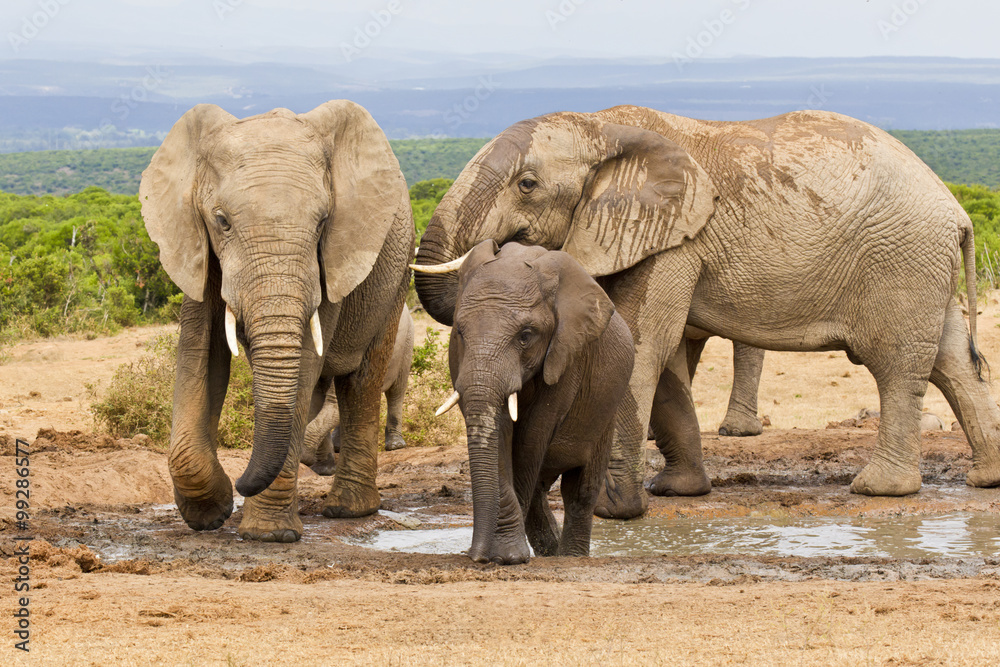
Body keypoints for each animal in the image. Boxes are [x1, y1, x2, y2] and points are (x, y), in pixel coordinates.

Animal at [301, 304, 414, 476]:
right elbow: (316, 402)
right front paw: (323, 470)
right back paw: (338, 447)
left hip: (407, 344)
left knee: (396, 391)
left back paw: (395, 445)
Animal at [413, 105, 1000, 520]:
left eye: (527, 185)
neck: (605, 128)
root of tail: (957, 210)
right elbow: (665, 358)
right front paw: (678, 492)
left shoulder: (673, 239)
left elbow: (644, 347)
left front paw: (612, 512)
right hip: (926, 266)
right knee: (955, 363)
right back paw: (986, 479)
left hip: (902, 261)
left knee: (898, 366)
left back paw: (880, 490)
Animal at [432, 240, 634, 564]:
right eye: (459, 331)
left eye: (525, 336)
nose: (473, 556)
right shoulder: (459, 357)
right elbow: (500, 434)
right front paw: (505, 555)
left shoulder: (566, 358)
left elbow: (529, 440)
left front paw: (507, 557)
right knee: (542, 486)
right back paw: (550, 551)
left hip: (607, 409)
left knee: (580, 491)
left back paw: (570, 557)